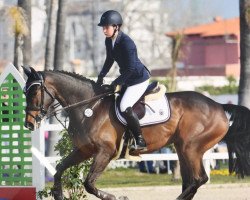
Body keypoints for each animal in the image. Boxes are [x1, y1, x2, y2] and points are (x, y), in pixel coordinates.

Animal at [23, 67, 250, 200]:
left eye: (34, 92)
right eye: (25, 91)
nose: (29, 123)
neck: (89, 107)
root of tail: (219, 106)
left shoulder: (105, 152)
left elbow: (89, 183)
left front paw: (116, 197)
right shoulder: (84, 150)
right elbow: (60, 169)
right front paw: (58, 194)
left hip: (191, 148)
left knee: (198, 179)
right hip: (182, 148)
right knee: (191, 181)